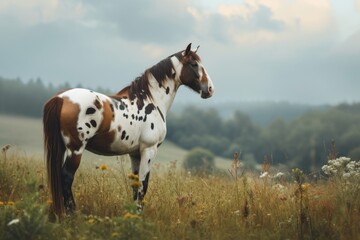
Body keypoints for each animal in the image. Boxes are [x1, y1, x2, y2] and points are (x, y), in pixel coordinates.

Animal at [43, 43, 215, 218]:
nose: (209, 89)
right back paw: (73, 214)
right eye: (194, 64)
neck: (151, 100)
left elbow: (135, 184)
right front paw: (139, 215)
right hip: (76, 149)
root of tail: (61, 98)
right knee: (66, 177)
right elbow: (143, 184)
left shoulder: (135, 154)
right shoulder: (149, 150)